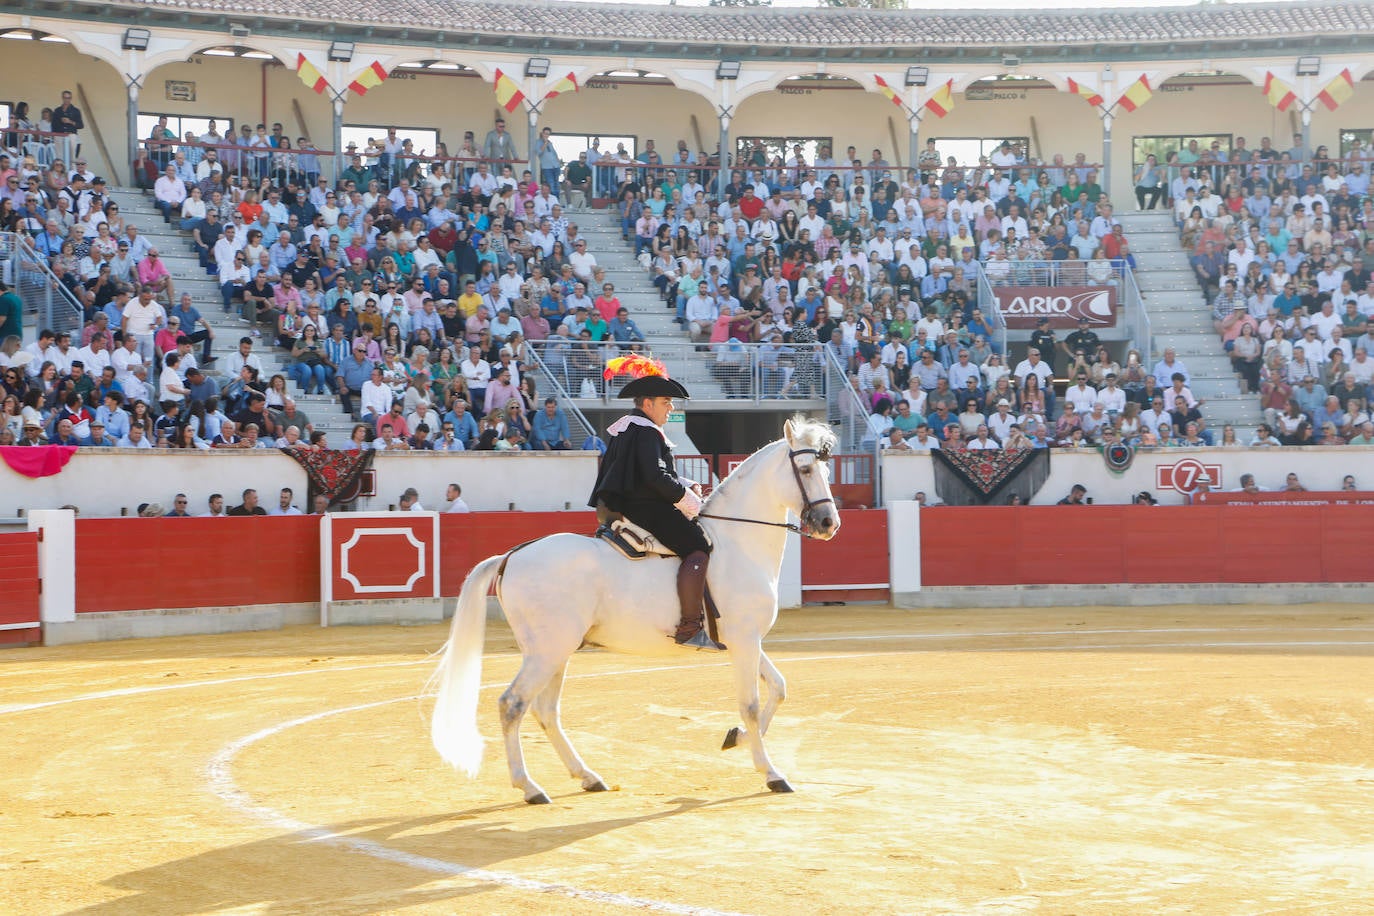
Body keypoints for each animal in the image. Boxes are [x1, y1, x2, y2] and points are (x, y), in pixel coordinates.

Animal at [431, 420, 835, 802]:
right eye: (806, 469)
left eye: (827, 469)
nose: (829, 523)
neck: (736, 544)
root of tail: (511, 556)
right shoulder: (746, 640)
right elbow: (750, 704)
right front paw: (772, 773)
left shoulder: (742, 642)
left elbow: (778, 688)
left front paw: (736, 738)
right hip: (547, 652)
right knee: (512, 704)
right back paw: (530, 787)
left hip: (555, 652)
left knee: (545, 710)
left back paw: (587, 776)